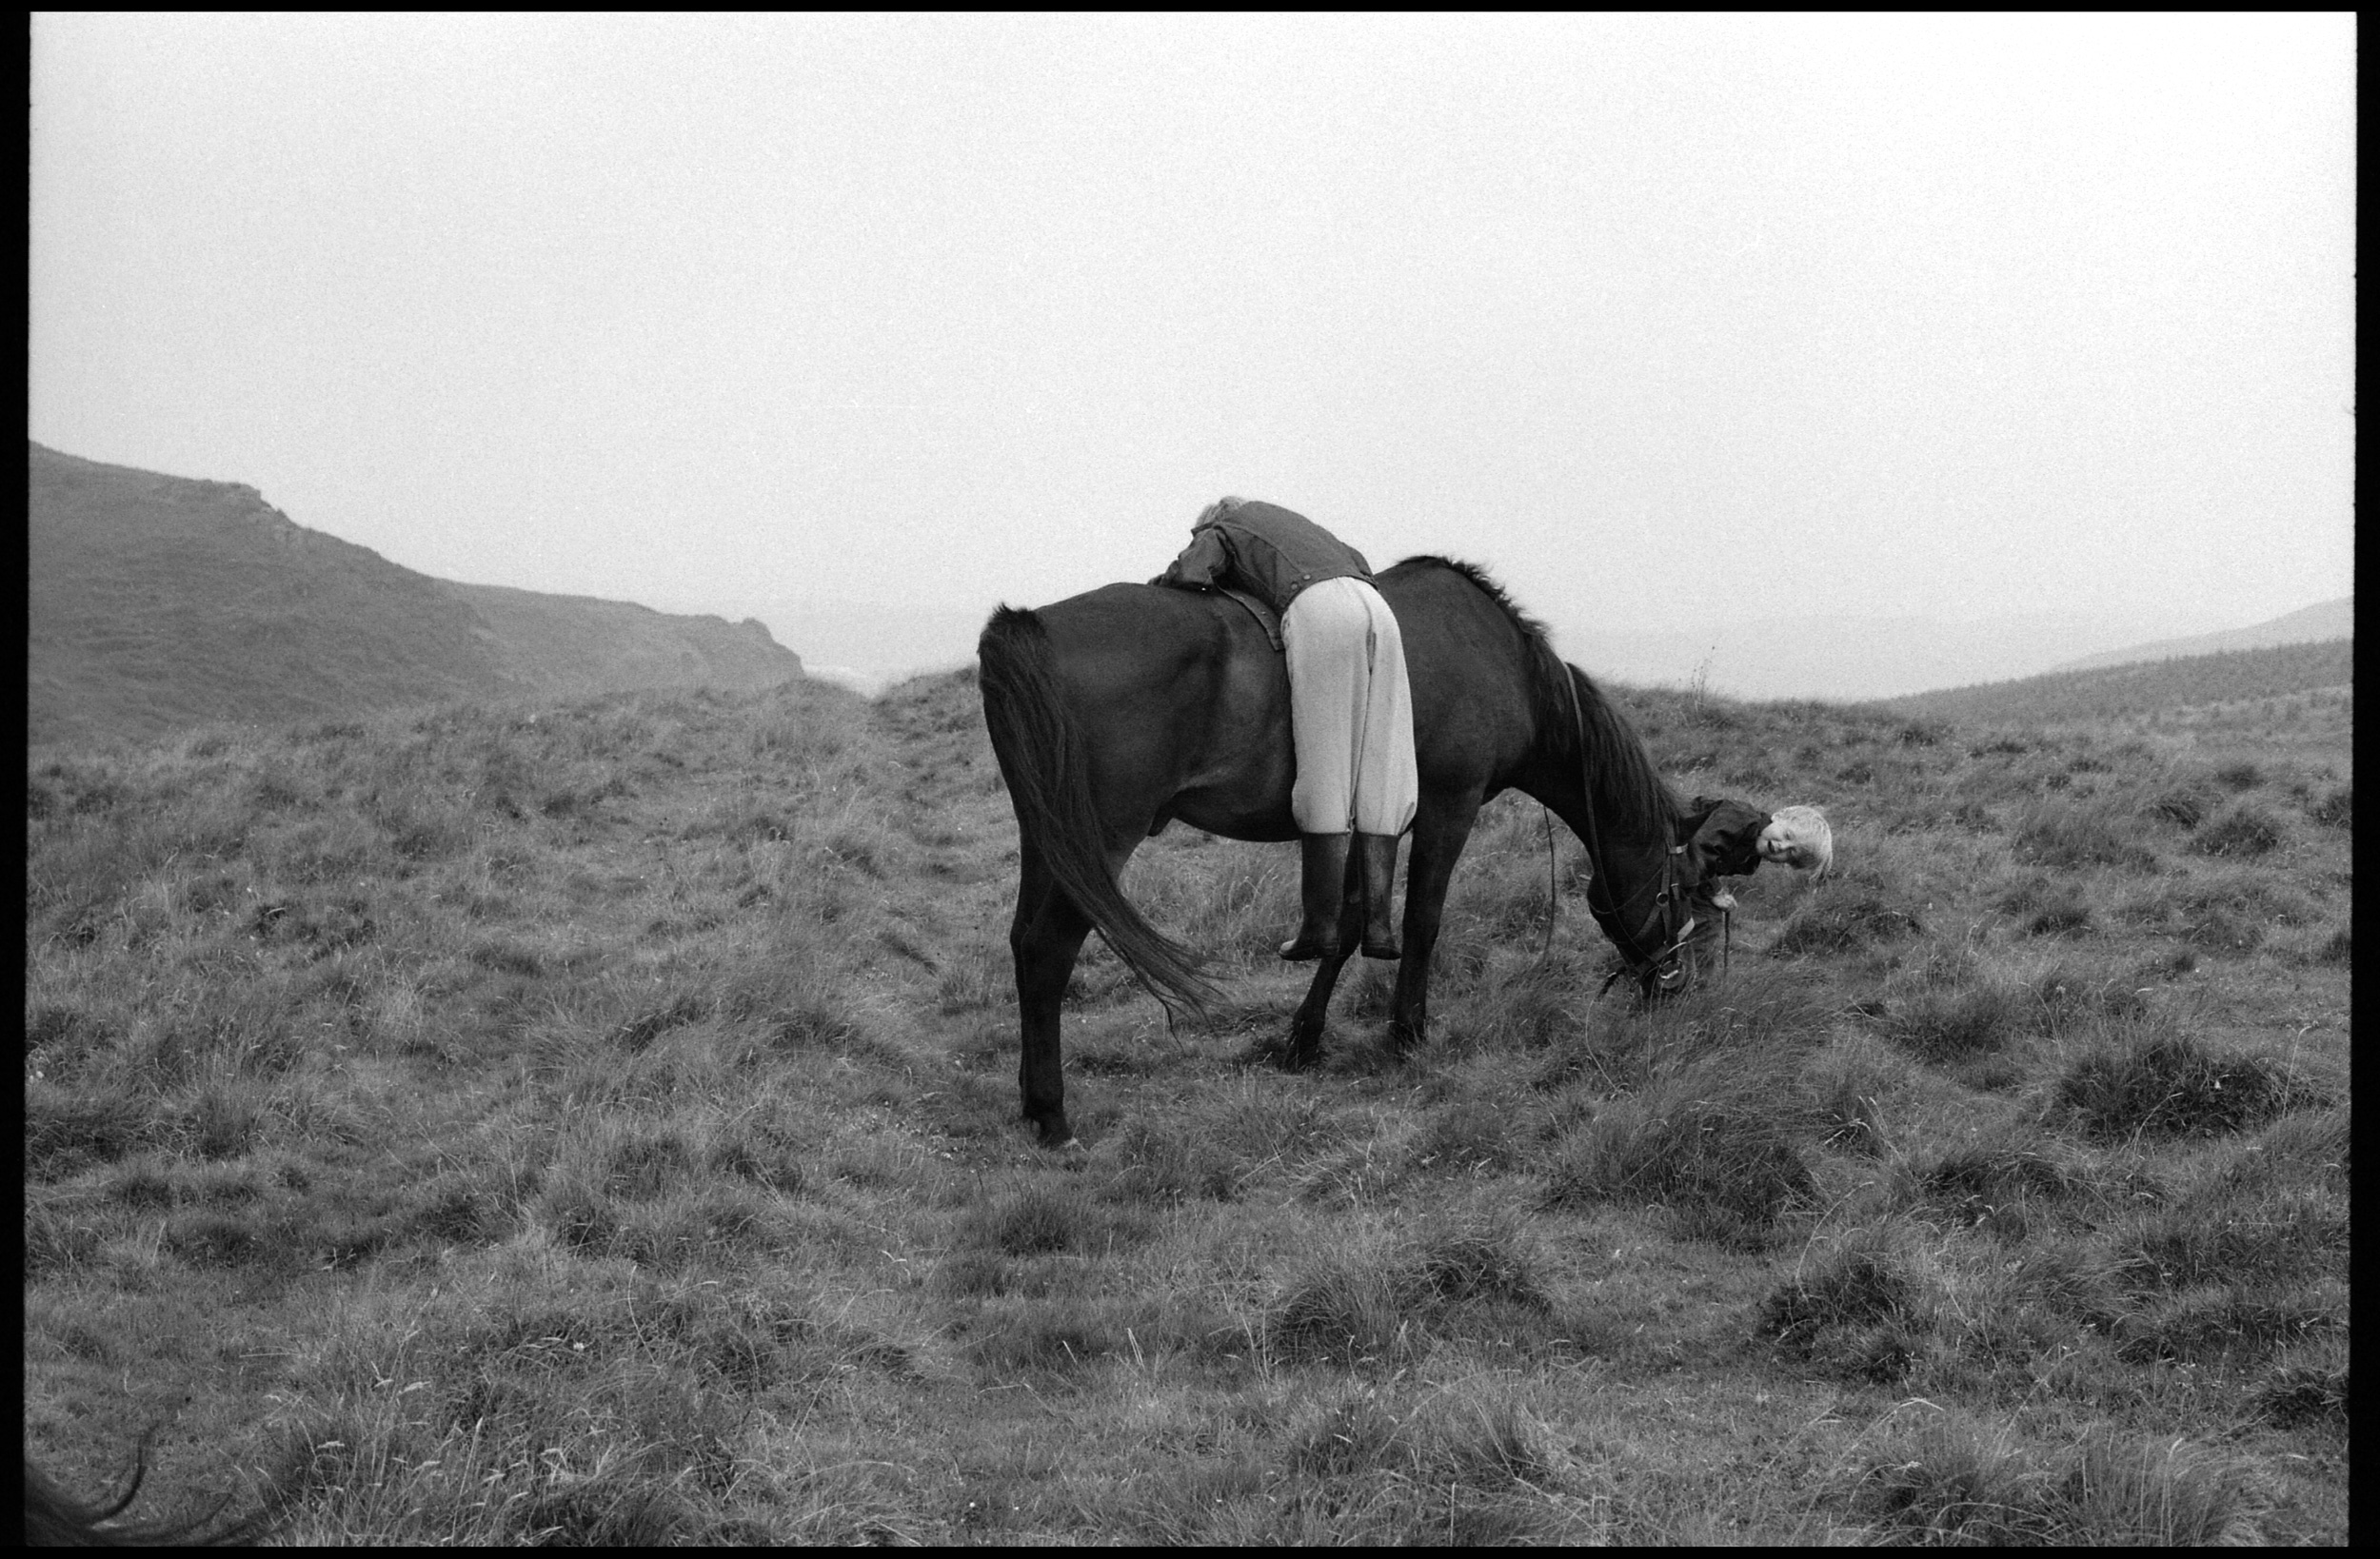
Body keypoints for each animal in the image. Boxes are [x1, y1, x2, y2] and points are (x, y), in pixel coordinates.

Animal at [976, 557, 1809, 1147]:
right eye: (1684, 889)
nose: (1675, 987)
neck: (1508, 666)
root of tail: (1032, 626)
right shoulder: (1448, 806)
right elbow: (1421, 923)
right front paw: (1407, 1034)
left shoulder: (1365, 817)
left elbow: (1347, 925)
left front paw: (1303, 1040)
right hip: (1100, 839)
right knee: (1048, 951)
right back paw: (1053, 1115)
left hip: (1051, 838)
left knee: (1021, 944)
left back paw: (1028, 1099)